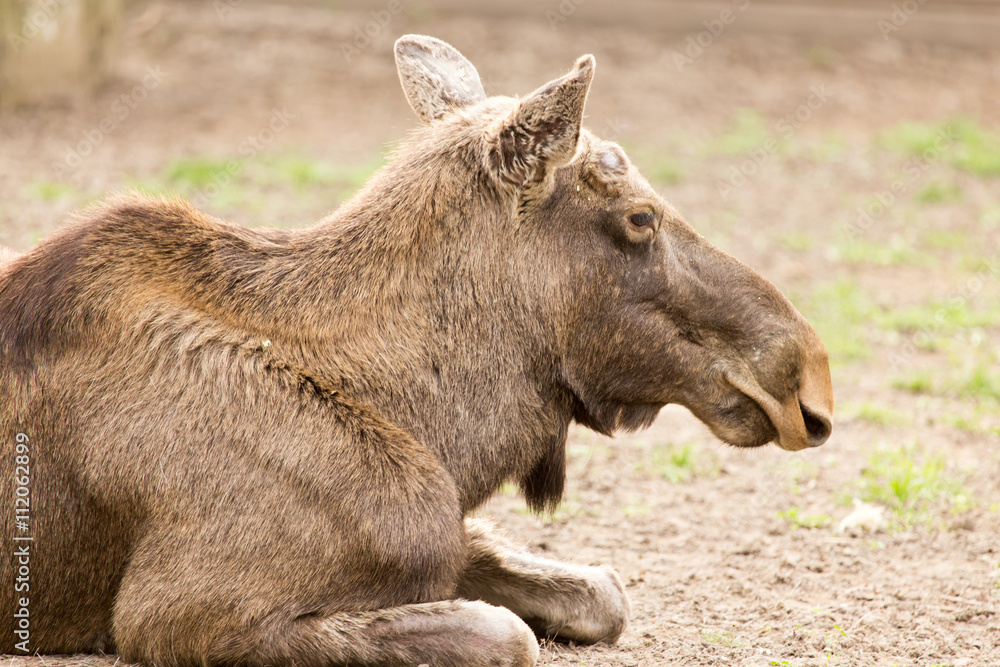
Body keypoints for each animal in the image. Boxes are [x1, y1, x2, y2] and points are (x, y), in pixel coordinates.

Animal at [1, 35, 828, 667]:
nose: (807, 376)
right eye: (640, 217)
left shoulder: (445, 533)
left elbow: (602, 593)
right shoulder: (175, 613)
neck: (436, 426)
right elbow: (509, 634)